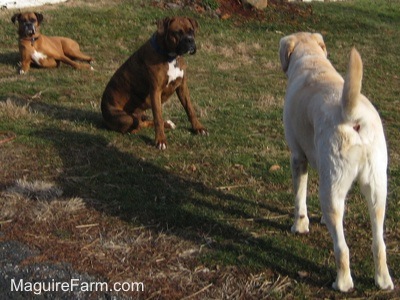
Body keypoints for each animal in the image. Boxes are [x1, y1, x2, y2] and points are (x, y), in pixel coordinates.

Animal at [100, 16, 208, 150]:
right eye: (177, 32)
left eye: (191, 31)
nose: (190, 40)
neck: (171, 57)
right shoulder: (155, 91)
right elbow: (158, 117)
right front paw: (160, 140)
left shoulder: (182, 87)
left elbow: (190, 109)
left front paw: (198, 128)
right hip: (125, 118)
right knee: (138, 125)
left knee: (143, 121)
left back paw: (168, 124)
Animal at [278, 31, 394, 292]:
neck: (311, 60)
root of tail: (352, 116)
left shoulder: (298, 157)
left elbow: (299, 199)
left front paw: (300, 226)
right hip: (377, 190)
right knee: (379, 243)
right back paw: (383, 280)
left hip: (330, 192)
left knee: (342, 248)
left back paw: (343, 282)